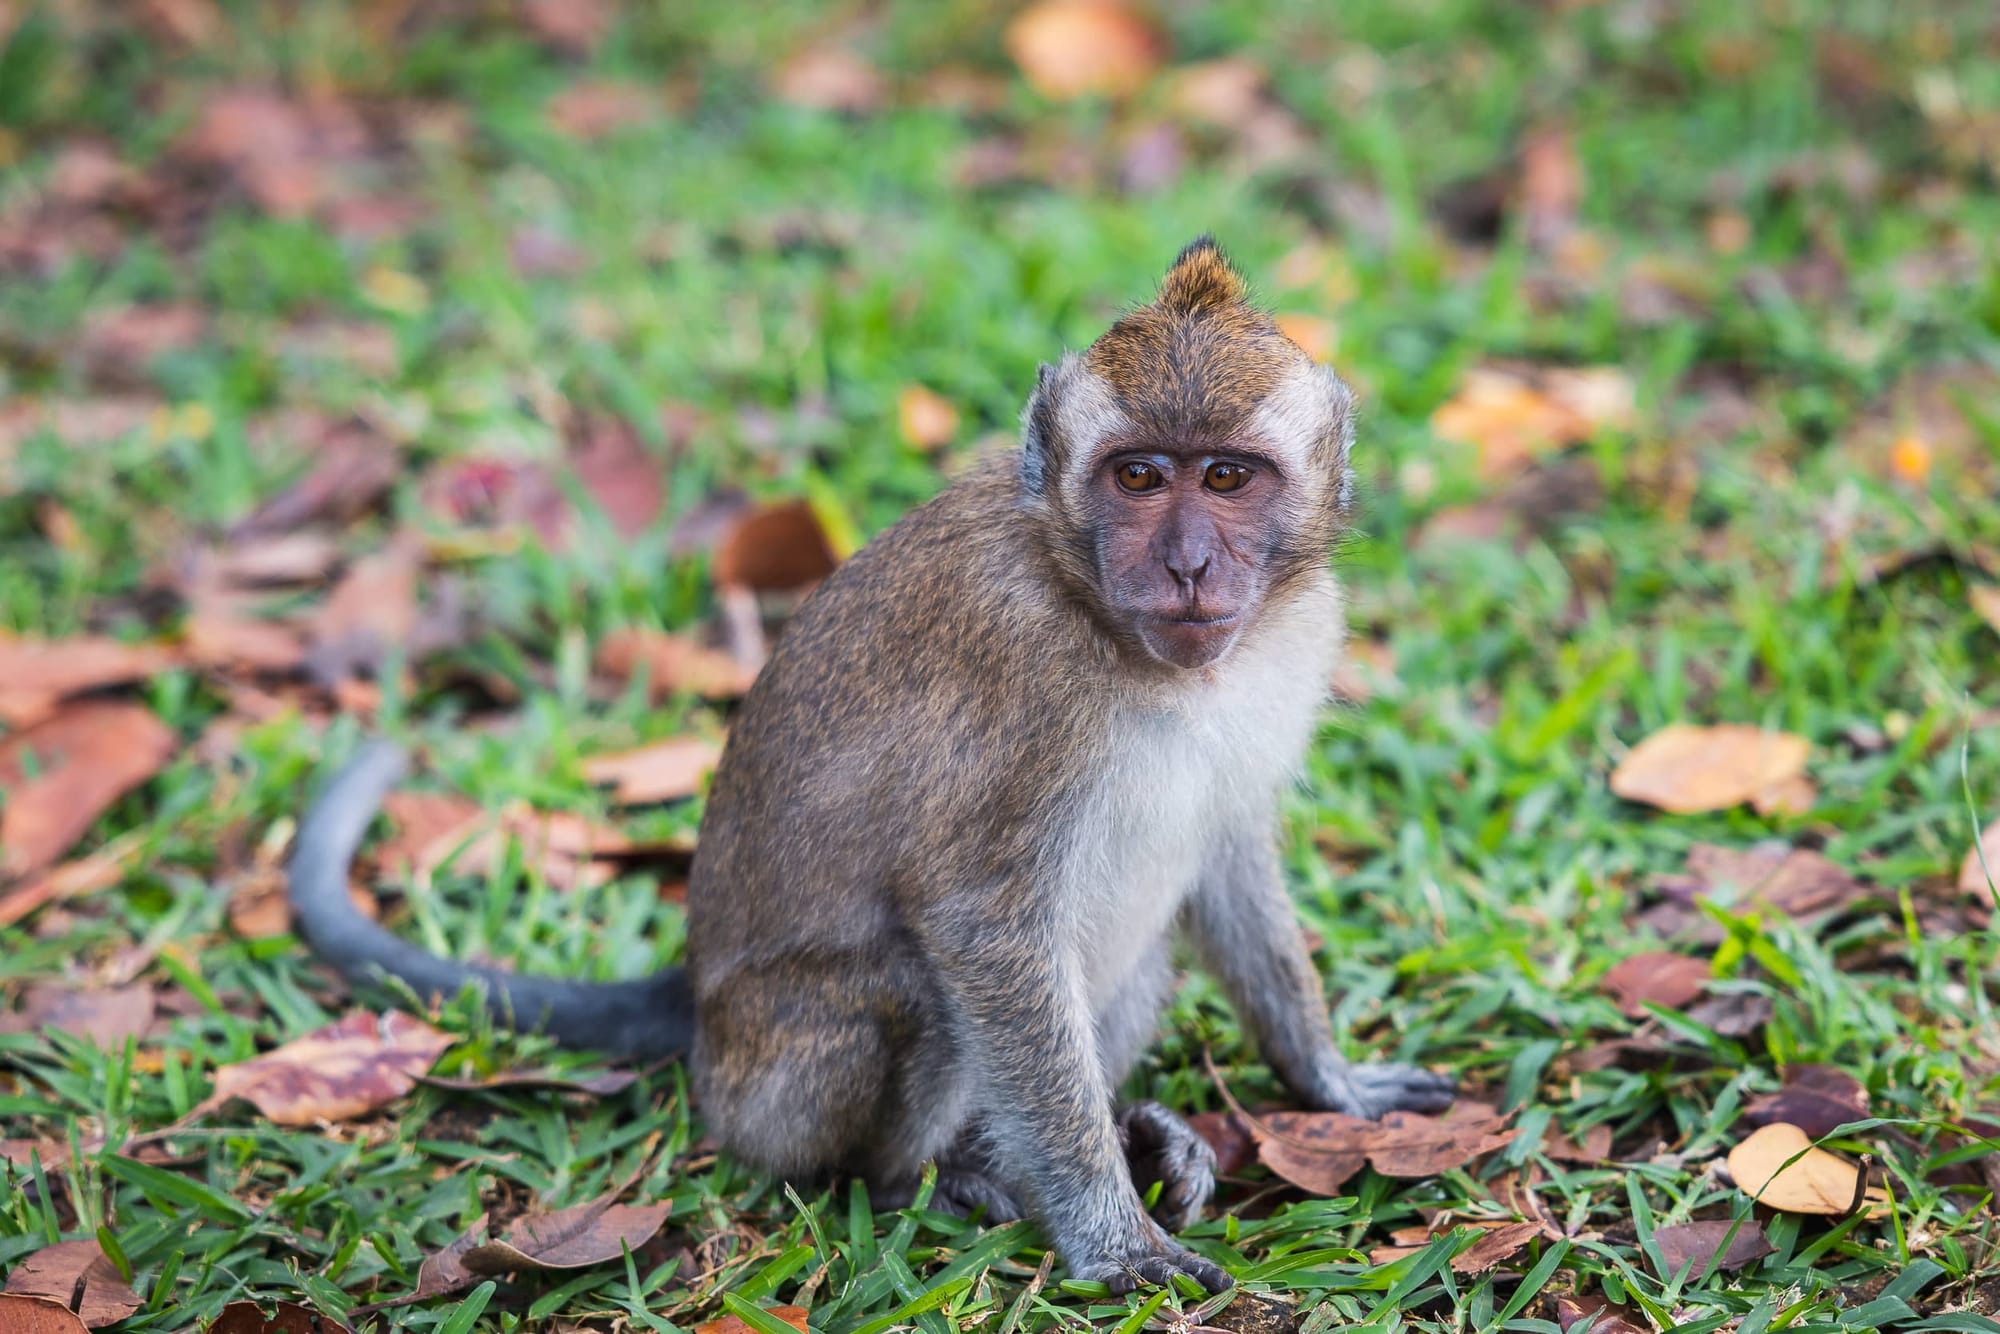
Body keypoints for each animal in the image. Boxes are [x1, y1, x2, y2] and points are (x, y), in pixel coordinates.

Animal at [292, 240, 1456, 1296]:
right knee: (915, 992)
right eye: (1137, 476)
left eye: (1223, 475)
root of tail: (695, 1003)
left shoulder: (1297, 637)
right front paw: (1109, 1235)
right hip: (771, 1084)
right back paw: (934, 1179)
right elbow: (979, 925)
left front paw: (1327, 1077)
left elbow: (1228, 862)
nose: (1187, 564)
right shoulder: (1027, 683)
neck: (1102, 613)